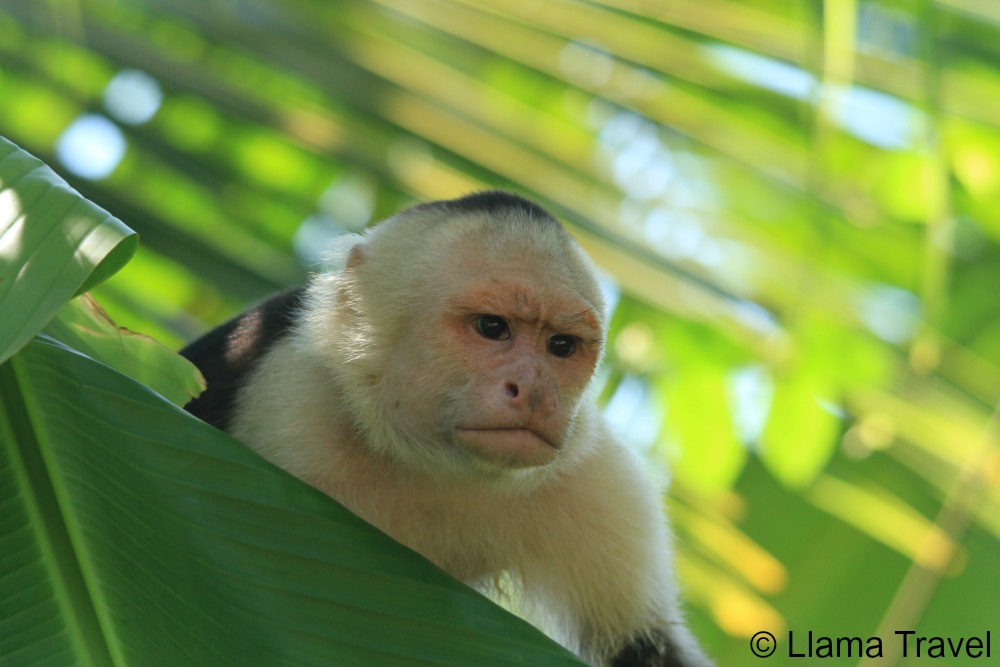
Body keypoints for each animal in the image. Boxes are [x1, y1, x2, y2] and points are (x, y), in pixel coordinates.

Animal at [180, 190, 712, 664]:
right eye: (492, 328)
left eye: (561, 345)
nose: (535, 392)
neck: (429, 461)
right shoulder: (288, 398)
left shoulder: (599, 481)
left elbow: (649, 650)